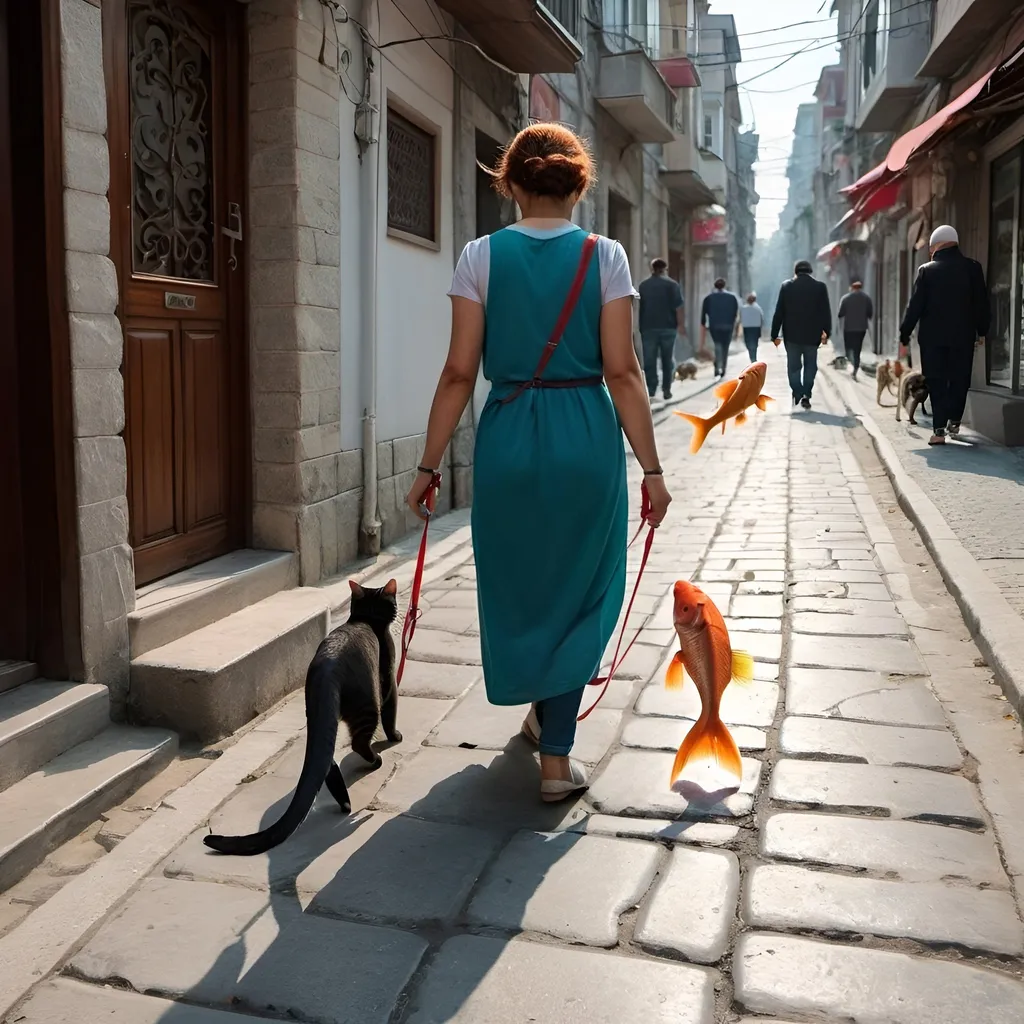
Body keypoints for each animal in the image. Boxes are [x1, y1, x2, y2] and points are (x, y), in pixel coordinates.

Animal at [202, 577, 399, 856]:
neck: (366, 619)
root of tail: (326, 666)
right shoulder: (389, 678)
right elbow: (392, 713)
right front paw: (395, 737)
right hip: (367, 704)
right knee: (358, 743)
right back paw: (374, 764)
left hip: (318, 716)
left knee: (326, 759)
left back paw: (345, 802)